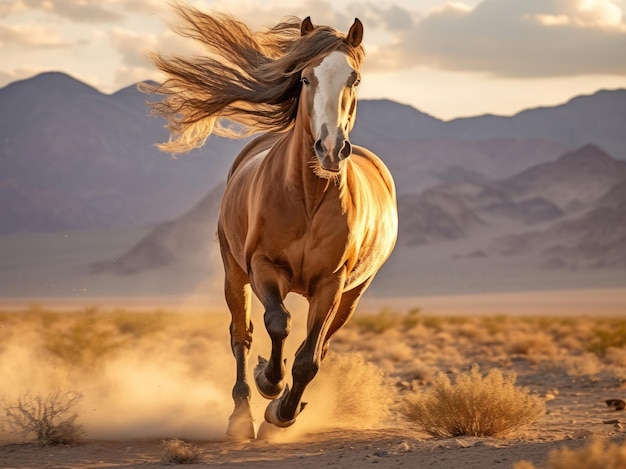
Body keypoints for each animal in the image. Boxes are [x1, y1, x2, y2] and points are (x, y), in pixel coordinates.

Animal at [141, 4, 394, 438]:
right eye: (305, 77)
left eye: (355, 78)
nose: (330, 149)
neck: (309, 197)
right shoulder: (263, 266)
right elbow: (277, 324)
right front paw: (268, 382)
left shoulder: (332, 283)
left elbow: (309, 358)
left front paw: (281, 414)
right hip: (234, 273)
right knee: (241, 335)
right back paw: (241, 416)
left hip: (352, 294)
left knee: (321, 344)